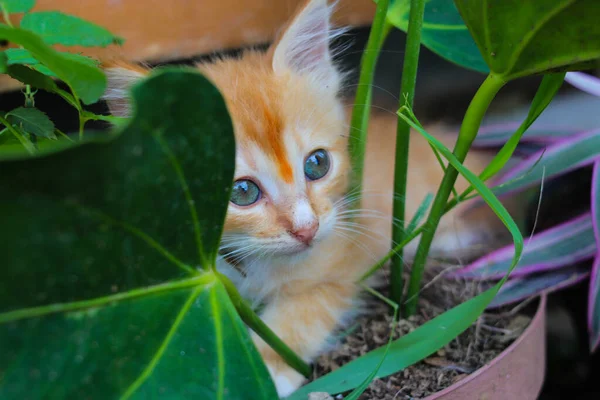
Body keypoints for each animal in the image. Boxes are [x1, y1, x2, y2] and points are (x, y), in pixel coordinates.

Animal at [101, 0, 512, 396]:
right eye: (243, 192)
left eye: (317, 164)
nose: (306, 228)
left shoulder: (346, 255)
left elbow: (306, 309)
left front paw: (269, 368)